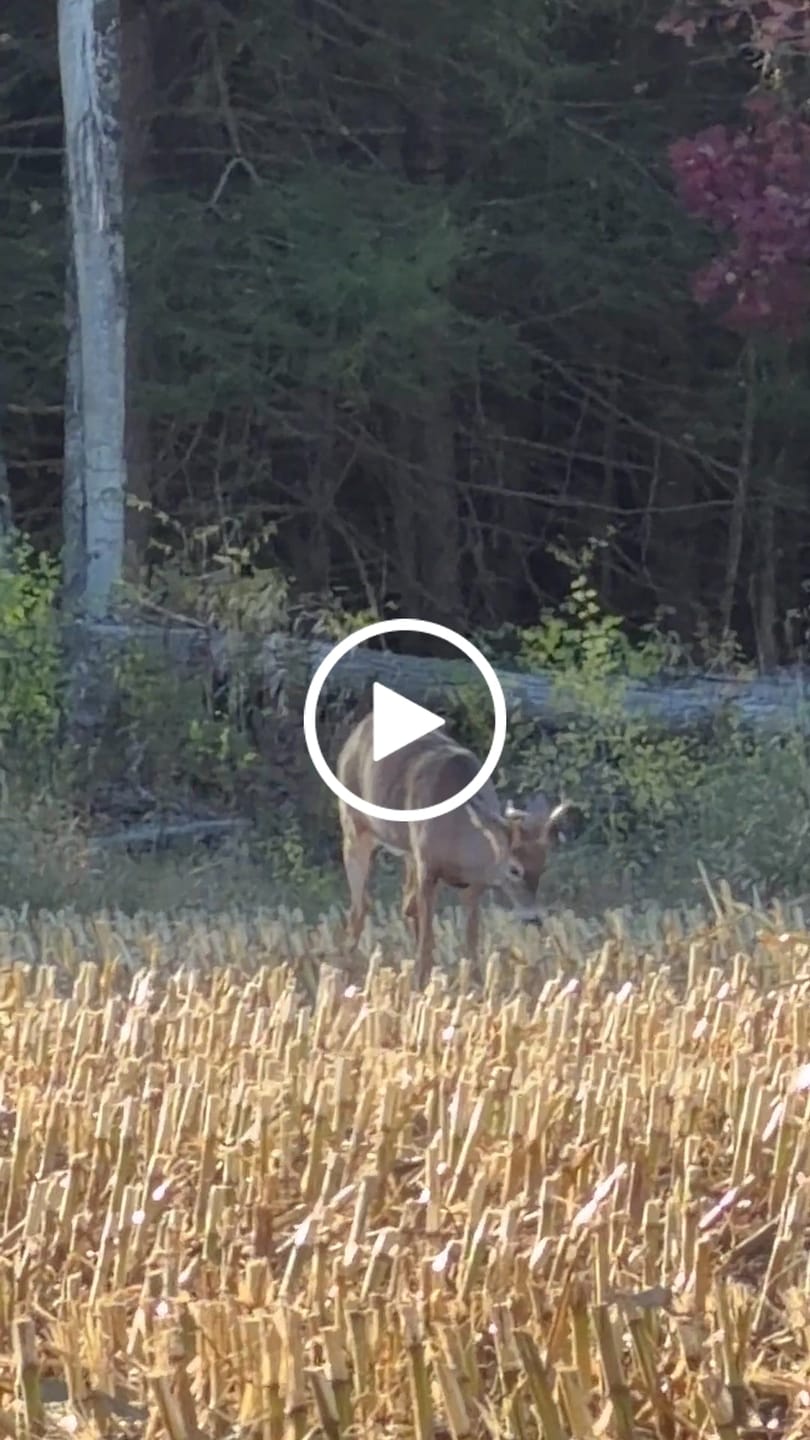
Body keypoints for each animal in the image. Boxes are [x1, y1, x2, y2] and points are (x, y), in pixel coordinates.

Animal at [336, 710, 573, 987]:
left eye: (543, 866)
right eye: (514, 870)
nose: (533, 918)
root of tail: (359, 730)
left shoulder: (475, 882)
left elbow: (471, 937)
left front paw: (478, 984)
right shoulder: (427, 867)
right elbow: (427, 937)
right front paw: (420, 985)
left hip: (407, 852)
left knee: (405, 905)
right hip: (354, 829)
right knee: (360, 906)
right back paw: (346, 969)